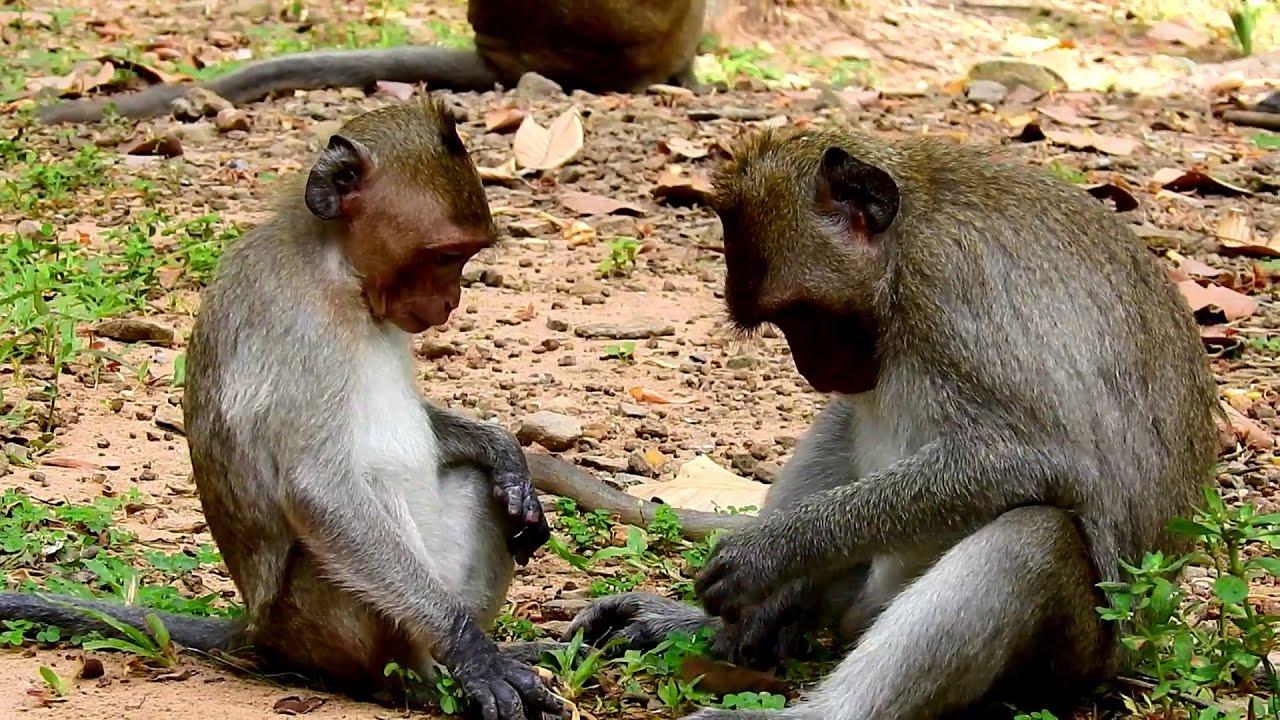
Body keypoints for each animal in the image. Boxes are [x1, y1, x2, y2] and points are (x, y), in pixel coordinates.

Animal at [0, 97, 566, 720]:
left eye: (465, 257)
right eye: (443, 256)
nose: (451, 300)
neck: (337, 271)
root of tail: (256, 626)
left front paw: (506, 454)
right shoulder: (299, 326)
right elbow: (317, 486)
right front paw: (472, 650)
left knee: (478, 487)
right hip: (316, 618)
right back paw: (417, 683)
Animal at [564, 126, 1222, 720]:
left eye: (802, 315)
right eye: (786, 324)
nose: (811, 368)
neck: (906, 243)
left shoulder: (952, 290)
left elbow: (1042, 457)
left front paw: (773, 552)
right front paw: (764, 596)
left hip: (1074, 655)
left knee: (1034, 537)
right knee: (847, 421)